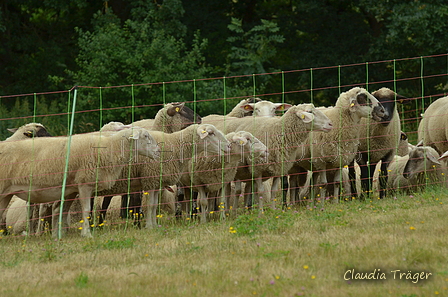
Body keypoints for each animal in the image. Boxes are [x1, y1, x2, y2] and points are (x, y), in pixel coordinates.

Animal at [0, 126, 160, 237]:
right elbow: (86, 210)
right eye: (145, 136)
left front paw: (59, 235)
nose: (158, 151)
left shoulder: (71, 190)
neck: (109, 148)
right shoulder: (84, 184)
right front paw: (86, 234)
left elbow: (62, 211)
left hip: (6, 194)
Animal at [202, 103, 332, 209]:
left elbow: (273, 191)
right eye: (310, 112)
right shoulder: (257, 169)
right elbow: (260, 191)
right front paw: (261, 212)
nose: (331, 124)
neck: (278, 133)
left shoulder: (278, 169)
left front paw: (274, 210)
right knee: (229, 190)